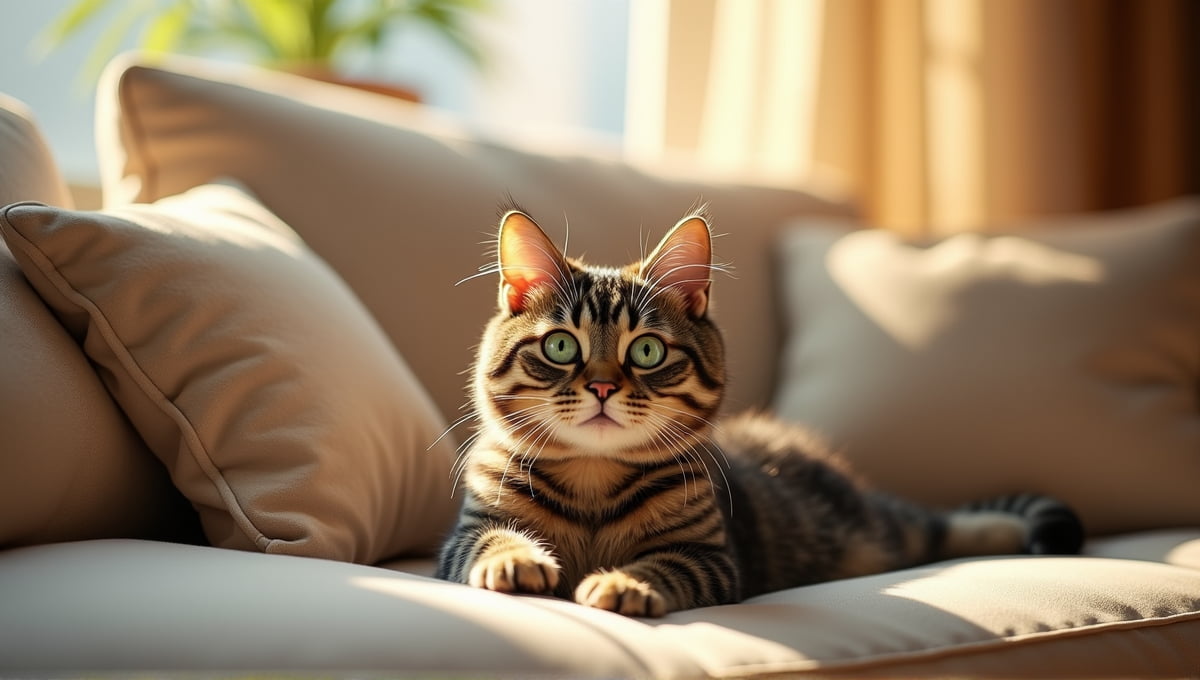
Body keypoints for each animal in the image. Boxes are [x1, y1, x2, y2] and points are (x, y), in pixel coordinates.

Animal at [434, 205, 1089, 618]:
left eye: (645, 351)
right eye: (560, 347)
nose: (600, 386)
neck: (593, 478)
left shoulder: (710, 557)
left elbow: (661, 567)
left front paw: (624, 582)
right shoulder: (464, 536)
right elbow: (492, 541)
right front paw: (517, 561)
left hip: (867, 525)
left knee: (929, 525)